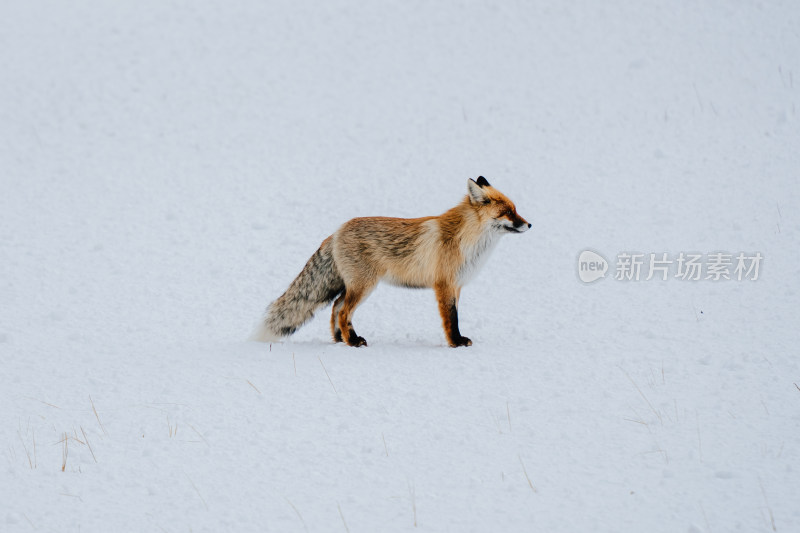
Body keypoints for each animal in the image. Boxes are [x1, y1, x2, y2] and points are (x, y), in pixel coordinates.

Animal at [253, 177, 532, 348]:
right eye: (507, 213)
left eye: (516, 209)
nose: (529, 224)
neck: (468, 240)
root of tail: (336, 231)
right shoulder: (444, 285)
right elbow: (451, 319)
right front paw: (455, 343)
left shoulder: (457, 286)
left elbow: (454, 317)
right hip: (364, 286)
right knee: (342, 311)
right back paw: (353, 342)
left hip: (354, 286)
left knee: (335, 307)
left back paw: (342, 339)